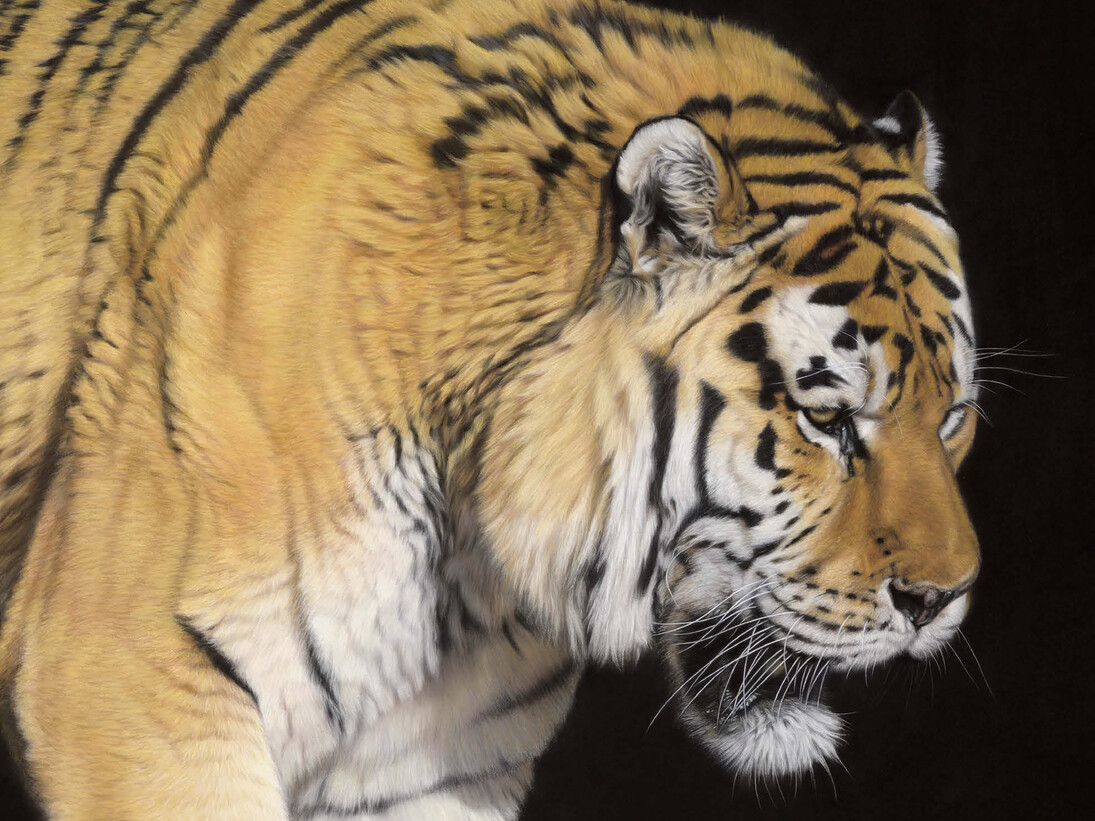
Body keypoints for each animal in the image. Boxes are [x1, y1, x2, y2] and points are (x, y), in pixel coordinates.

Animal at [0, 0, 981, 817]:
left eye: (951, 417)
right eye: (826, 418)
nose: (940, 599)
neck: (474, 567)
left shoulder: (427, 762)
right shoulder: (134, 681)